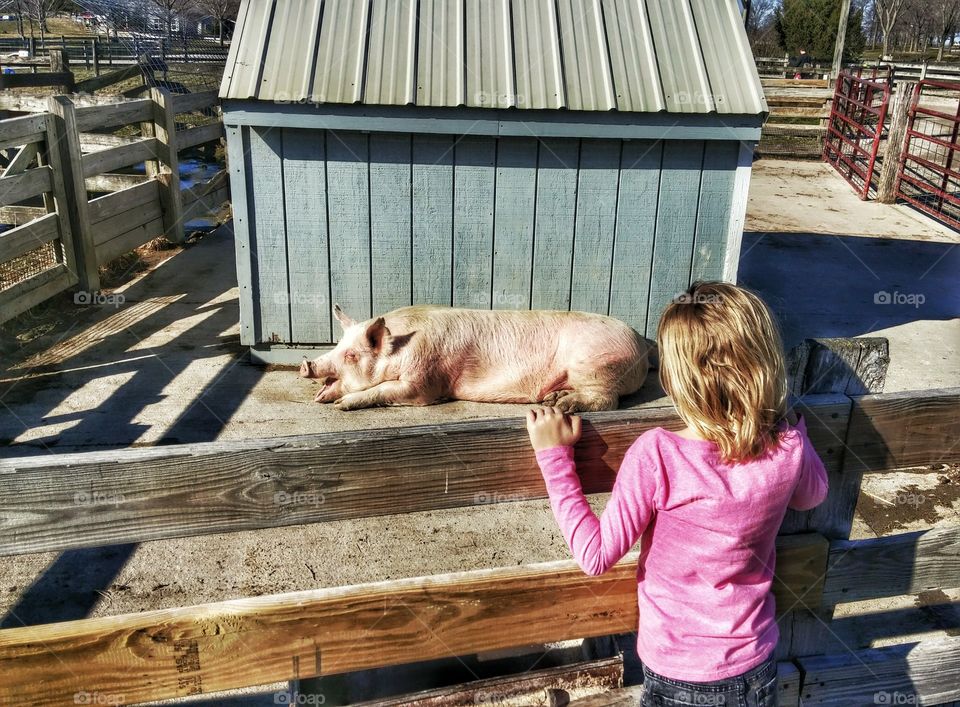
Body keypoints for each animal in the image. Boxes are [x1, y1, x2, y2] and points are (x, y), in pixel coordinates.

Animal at [299, 304, 650, 412]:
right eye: (337, 345)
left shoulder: (425, 382)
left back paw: (562, 406)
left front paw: (342, 405)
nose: (307, 363)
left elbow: (387, 390)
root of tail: (640, 342)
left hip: (596, 365)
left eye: (351, 355)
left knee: (608, 401)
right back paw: (553, 399)